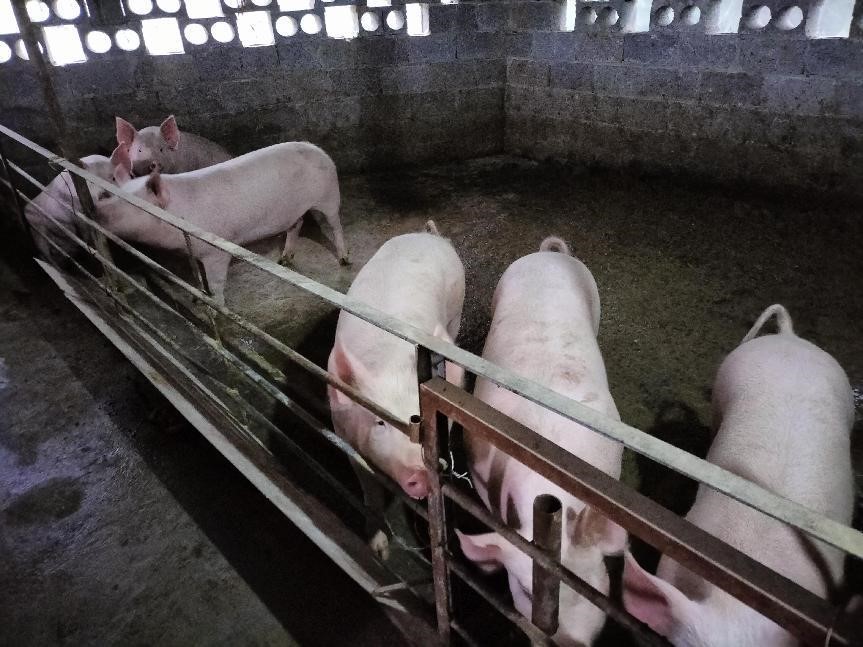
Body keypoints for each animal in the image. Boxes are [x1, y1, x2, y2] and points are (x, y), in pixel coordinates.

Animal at [96, 141, 348, 304]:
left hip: (329, 195)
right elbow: (198, 277)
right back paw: (284, 260)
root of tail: (318, 149)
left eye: (133, 204)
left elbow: (216, 283)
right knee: (297, 224)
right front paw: (199, 299)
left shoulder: (216, 251)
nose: (95, 210)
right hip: (294, 211)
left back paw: (344, 260)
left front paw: (217, 305)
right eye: (109, 195)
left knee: (335, 224)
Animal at [327, 222, 465, 559]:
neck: (391, 361)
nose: (420, 472)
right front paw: (378, 551)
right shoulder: (344, 433)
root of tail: (429, 236)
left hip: (456, 308)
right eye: (380, 422)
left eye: (436, 427)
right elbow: (369, 490)